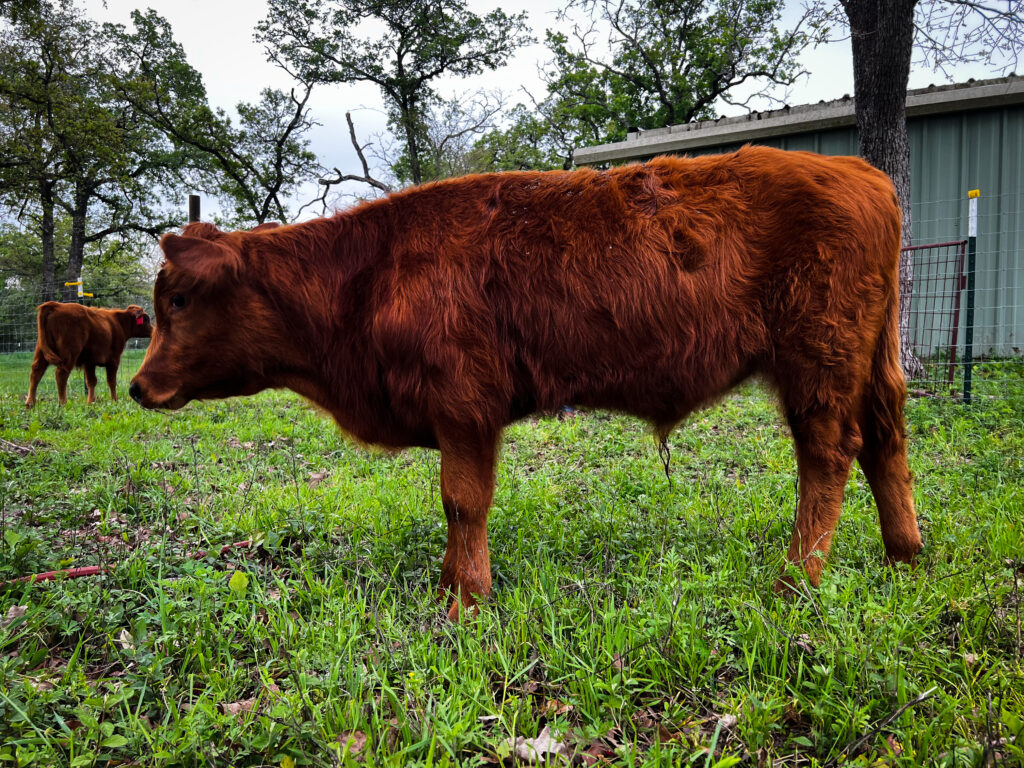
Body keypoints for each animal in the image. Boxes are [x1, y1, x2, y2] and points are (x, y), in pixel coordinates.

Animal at [132, 147, 925, 618]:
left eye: (180, 300)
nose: (138, 388)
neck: (370, 273)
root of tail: (852, 168)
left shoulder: (464, 406)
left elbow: (463, 502)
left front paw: (465, 599)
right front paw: (450, 586)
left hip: (819, 361)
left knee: (829, 455)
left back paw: (798, 580)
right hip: (870, 362)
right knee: (886, 444)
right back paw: (903, 556)